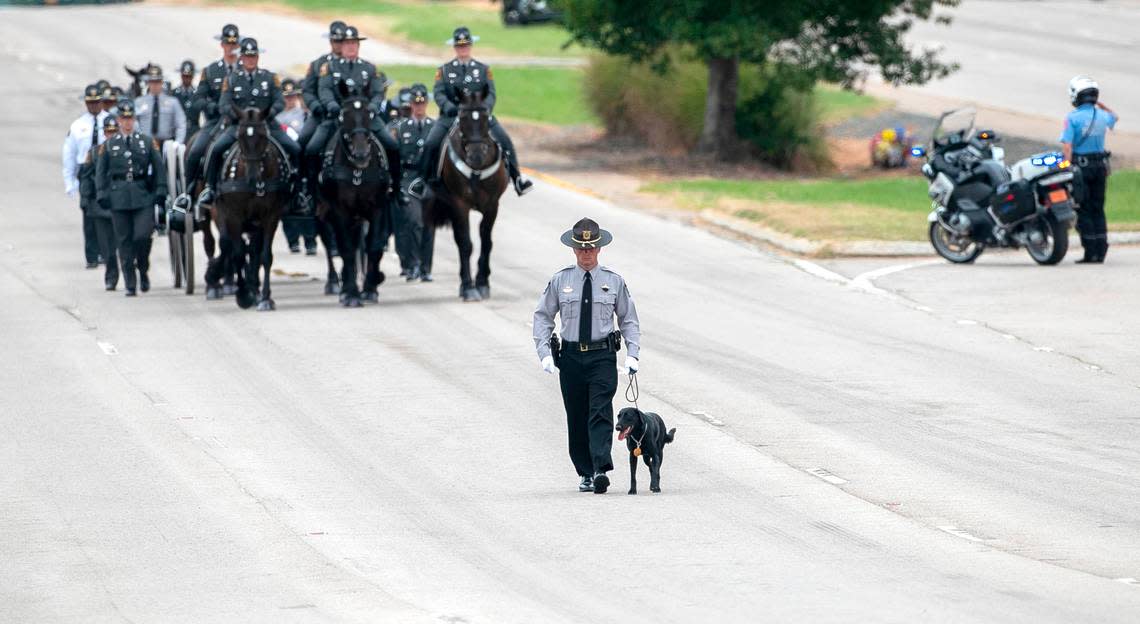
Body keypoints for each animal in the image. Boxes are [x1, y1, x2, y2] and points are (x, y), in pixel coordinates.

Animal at [206, 109, 291, 312]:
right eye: (240, 137)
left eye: (263, 136)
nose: (253, 178)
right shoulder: (232, 216)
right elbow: (236, 253)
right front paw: (243, 295)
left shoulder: (270, 217)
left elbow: (264, 256)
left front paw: (265, 298)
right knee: (226, 245)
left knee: (252, 251)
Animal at [319, 89, 403, 308]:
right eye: (342, 115)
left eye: (370, 114)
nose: (361, 154)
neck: (357, 171)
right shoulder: (339, 210)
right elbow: (346, 249)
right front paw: (350, 294)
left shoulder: (377, 209)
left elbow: (373, 247)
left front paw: (370, 288)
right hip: (322, 211)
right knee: (329, 243)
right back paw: (334, 282)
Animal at [428, 84, 510, 303]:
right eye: (462, 117)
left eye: (485, 117)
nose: (476, 156)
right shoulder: (459, 205)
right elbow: (466, 244)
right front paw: (468, 287)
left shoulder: (492, 205)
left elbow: (486, 242)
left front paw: (482, 283)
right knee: (459, 240)